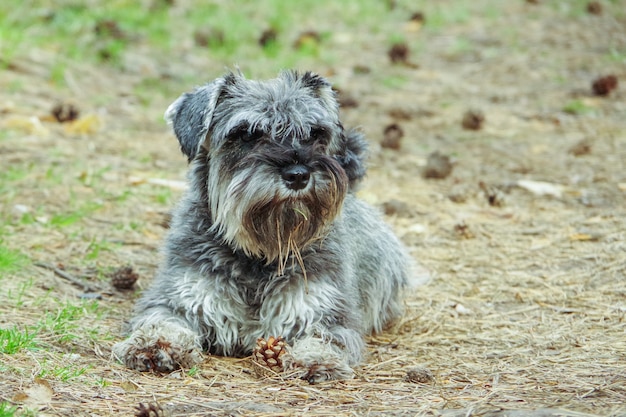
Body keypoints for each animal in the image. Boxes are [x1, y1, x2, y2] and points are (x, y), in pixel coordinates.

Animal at [112, 70, 410, 380]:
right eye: (246, 134)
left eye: (315, 133)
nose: (298, 174)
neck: (260, 252)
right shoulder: (180, 299)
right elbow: (162, 320)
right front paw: (155, 344)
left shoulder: (326, 312)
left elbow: (325, 336)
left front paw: (316, 358)